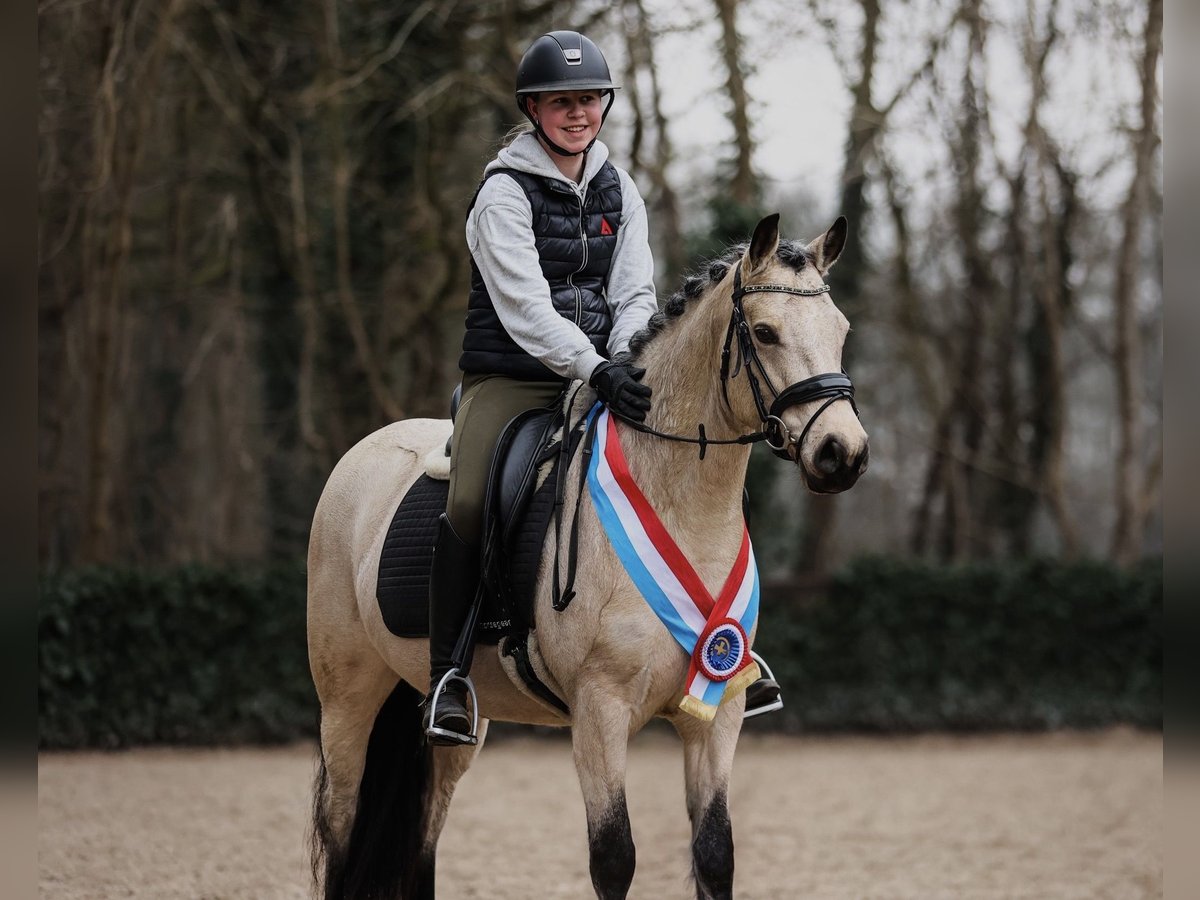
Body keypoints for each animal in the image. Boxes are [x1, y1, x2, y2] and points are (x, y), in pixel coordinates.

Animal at [307, 213, 869, 900]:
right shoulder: (600, 713)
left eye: (841, 330)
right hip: (347, 701)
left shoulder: (718, 714)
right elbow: (614, 859)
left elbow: (715, 854)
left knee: (424, 839)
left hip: (453, 730)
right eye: (764, 332)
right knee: (341, 825)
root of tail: (362, 455)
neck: (680, 505)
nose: (843, 453)